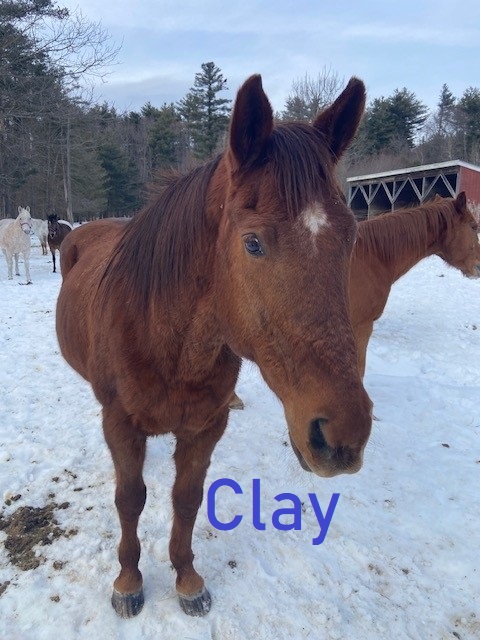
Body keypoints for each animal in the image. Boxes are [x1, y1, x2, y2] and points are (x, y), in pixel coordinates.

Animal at [55, 74, 372, 619]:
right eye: (252, 243)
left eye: (351, 235)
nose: (342, 435)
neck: (167, 343)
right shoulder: (119, 422)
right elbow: (129, 498)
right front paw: (128, 581)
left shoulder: (206, 427)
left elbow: (186, 498)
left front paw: (187, 579)